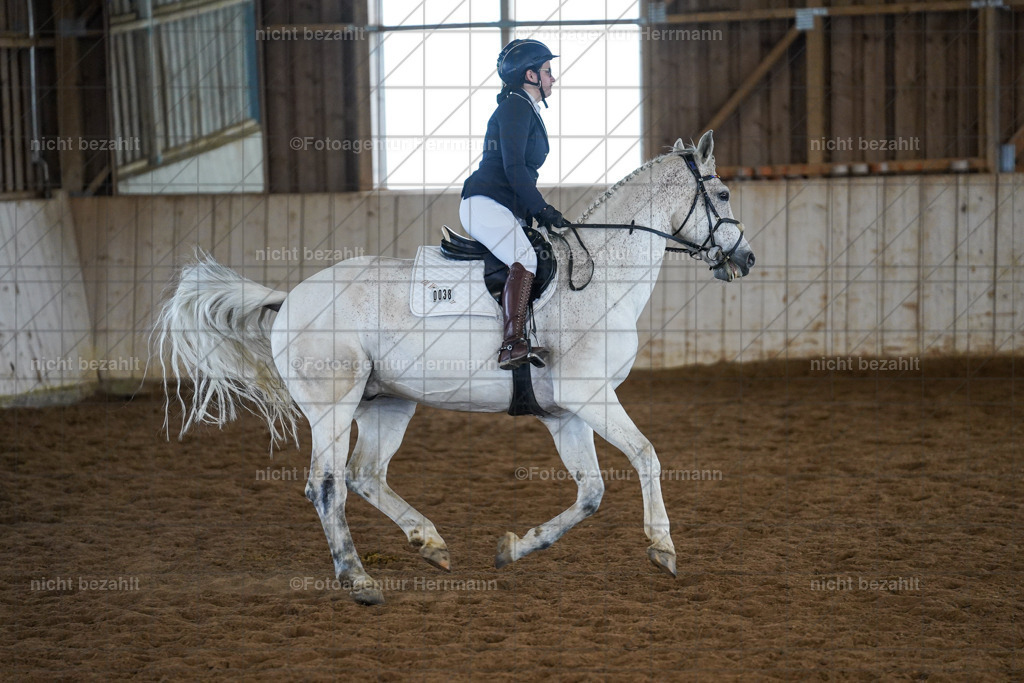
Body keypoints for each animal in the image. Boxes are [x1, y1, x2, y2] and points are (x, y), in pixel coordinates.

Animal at [155, 131, 755, 605]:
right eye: (723, 193)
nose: (746, 259)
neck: (600, 276)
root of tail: (291, 298)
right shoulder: (589, 395)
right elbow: (647, 456)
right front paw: (663, 547)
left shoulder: (566, 413)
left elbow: (590, 494)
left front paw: (515, 547)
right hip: (332, 405)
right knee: (327, 486)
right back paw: (359, 580)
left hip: (387, 402)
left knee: (366, 475)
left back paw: (430, 544)